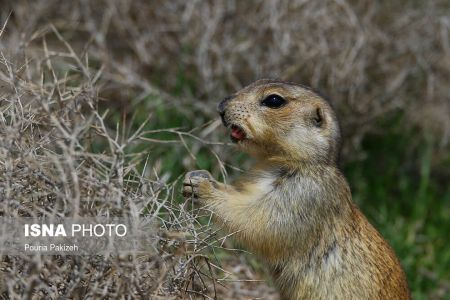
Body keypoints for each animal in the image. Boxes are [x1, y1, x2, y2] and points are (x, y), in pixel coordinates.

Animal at [183, 78, 412, 298]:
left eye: (274, 100)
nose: (221, 107)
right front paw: (196, 175)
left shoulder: (306, 194)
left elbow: (261, 220)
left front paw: (202, 187)